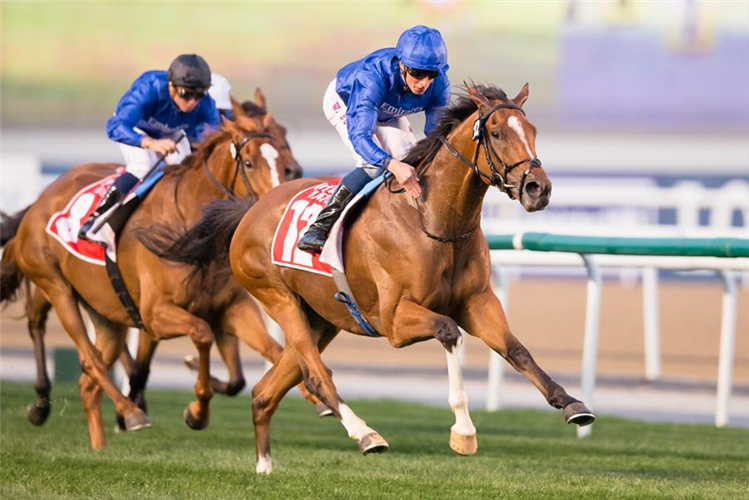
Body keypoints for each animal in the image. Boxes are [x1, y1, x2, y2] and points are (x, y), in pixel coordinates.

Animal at [0, 101, 304, 450]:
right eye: (250, 163)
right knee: (80, 352)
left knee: (88, 379)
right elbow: (201, 335)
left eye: (282, 157)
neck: (193, 229)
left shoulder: (230, 307)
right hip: (56, 286)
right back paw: (125, 412)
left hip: (105, 312)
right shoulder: (154, 314)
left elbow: (269, 355)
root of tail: (40, 201)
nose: (279, 201)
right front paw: (197, 411)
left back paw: (99, 443)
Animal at [153, 83, 596, 472]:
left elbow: (516, 349)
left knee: (265, 392)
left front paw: (573, 405)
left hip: (321, 319)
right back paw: (365, 433)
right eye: (498, 132)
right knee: (317, 375)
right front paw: (464, 431)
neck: (434, 219)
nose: (539, 188)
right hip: (277, 297)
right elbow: (450, 332)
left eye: (533, 132)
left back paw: (264, 466)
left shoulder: (479, 301)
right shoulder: (395, 320)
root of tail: (251, 209)